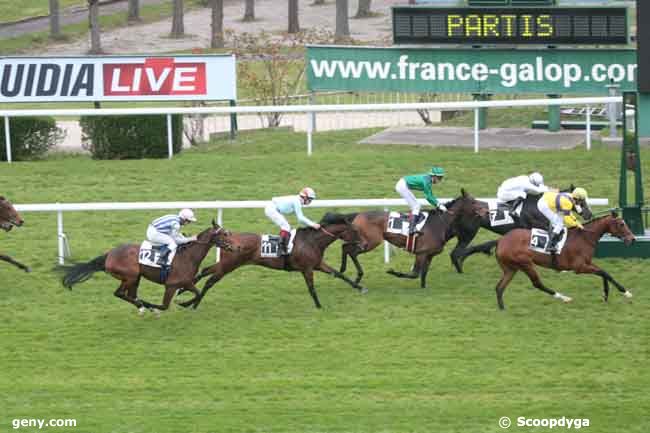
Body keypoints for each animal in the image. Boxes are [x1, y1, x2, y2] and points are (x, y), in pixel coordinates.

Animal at [61, 221, 233, 316]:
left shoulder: (185, 282)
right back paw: (143, 306)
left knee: (129, 295)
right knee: (120, 294)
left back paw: (141, 306)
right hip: (130, 276)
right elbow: (164, 305)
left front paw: (185, 304)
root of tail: (109, 254)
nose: (234, 246)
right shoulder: (172, 285)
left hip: (135, 277)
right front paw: (156, 308)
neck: (188, 256)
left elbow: (197, 293)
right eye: (224, 234)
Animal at [184, 211, 364, 308]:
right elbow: (311, 287)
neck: (312, 241)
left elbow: (338, 274)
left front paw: (360, 287)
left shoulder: (318, 264)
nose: (363, 244)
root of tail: (229, 239)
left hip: (226, 264)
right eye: (355, 231)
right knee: (209, 281)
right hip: (228, 266)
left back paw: (186, 295)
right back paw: (192, 303)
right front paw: (319, 305)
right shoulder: (307, 268)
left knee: (205, 271)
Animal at [340, 188, 486, 286]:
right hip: (370, 242)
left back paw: (343, 270)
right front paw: (393, 272)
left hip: (362, 240)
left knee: (345, 247)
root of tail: (358, 215)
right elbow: (415, 274)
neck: (440, 223)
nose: (486, 209)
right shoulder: (421, 253)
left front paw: (424, 288)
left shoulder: (430, 254)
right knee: (351, 251)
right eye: (473, 202)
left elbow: (423, 274)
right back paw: (355, 275)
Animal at [448, 186, 588, 274]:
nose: (589, 214)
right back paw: (460, 270)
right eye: (581, 201)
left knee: (456, 252)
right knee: (455, 253)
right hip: (468, 233)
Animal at [476, 211, 632, 308]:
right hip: (526, 263)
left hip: (511, 268)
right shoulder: (579, 267)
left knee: (499, 287)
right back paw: (564, 297)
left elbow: (605, 273)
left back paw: (502, 309)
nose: (632, 239)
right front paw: (625, 292)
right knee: (537, 284)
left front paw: (606, 294)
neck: (584, 237)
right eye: (621, 224)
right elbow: (604, 273)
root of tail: (501, 240)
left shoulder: (587, 263)